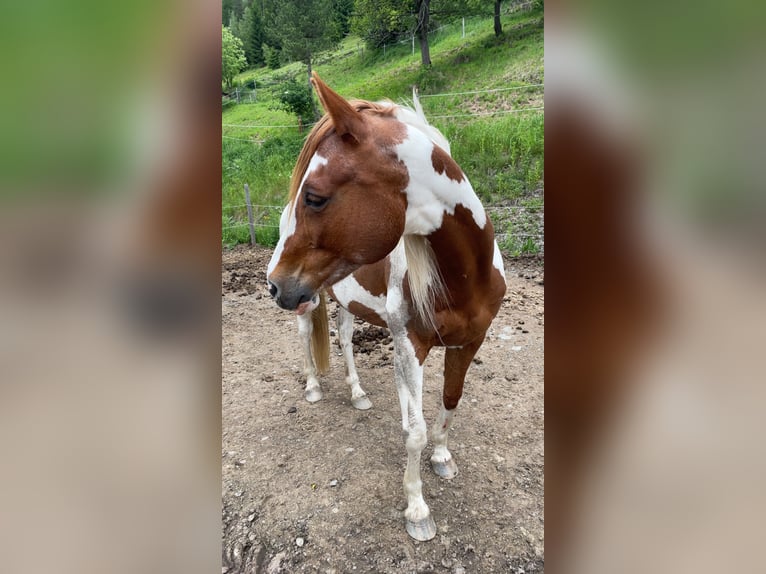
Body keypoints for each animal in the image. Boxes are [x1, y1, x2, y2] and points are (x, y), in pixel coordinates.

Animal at [268, 73, 508, 544]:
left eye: (315, 197)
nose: (274, 284)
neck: (465, 277)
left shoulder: (470, 342)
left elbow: (450, 400)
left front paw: (442, 457)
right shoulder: (410, 345)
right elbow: (413, 431)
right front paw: (417, 508)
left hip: (342, 298)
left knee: (344, 338)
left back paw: (358, 393)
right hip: (308, 301)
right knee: (307, 337)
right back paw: (313, 387)